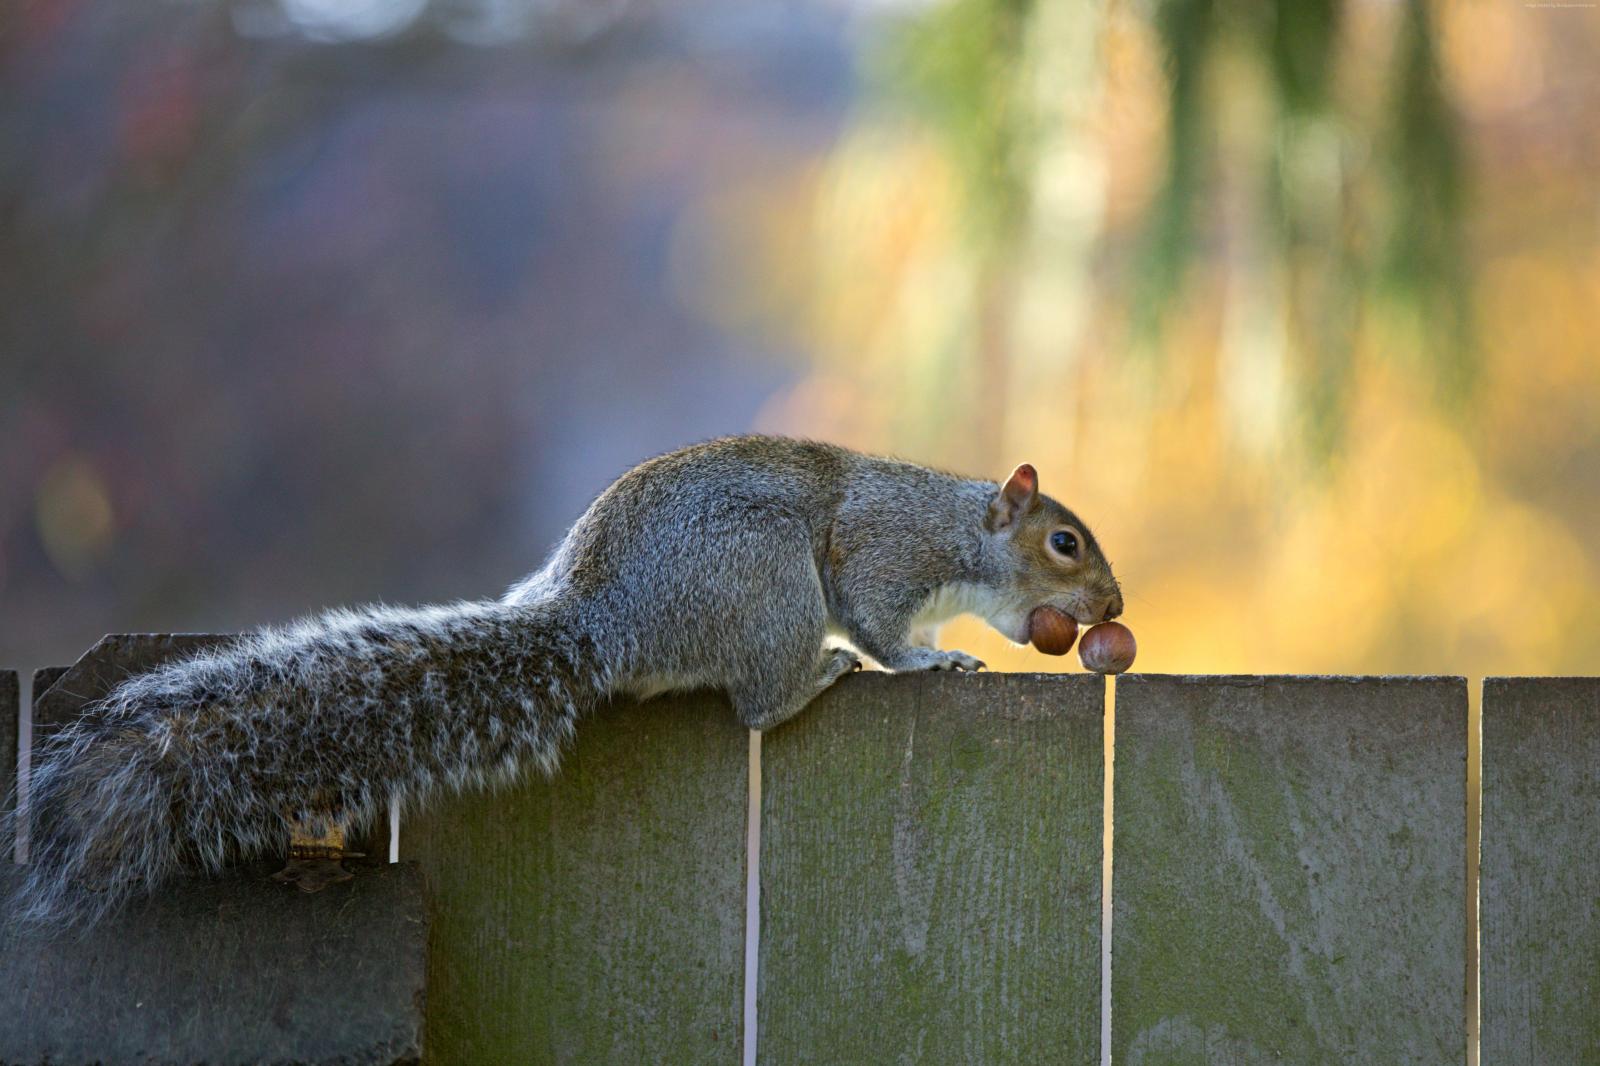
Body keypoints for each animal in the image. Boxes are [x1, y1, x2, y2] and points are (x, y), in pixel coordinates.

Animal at [6, 435, 1122, 928]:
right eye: (1064, 542)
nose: (1112, 605)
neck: (954, 527)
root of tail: (601, 619)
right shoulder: (879, 560)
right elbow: (885, 623)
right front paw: (931, 657)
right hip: (763, 580)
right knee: (759, 703)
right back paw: (816, 679)